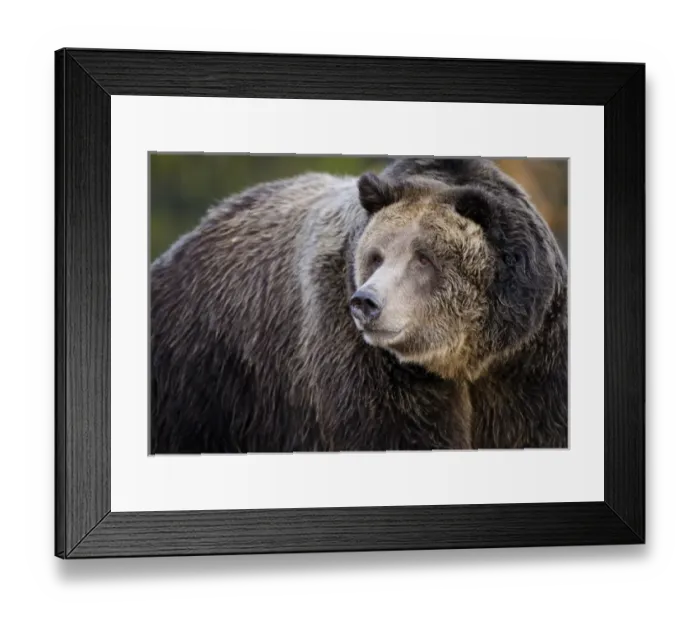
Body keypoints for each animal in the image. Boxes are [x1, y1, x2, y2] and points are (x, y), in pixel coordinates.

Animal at [149, 157, 568, 454]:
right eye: (376, 255)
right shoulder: (364, 359)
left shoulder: (528, 359)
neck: (463, 356)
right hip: (208, 375)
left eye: (423, 257)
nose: (366, 302)